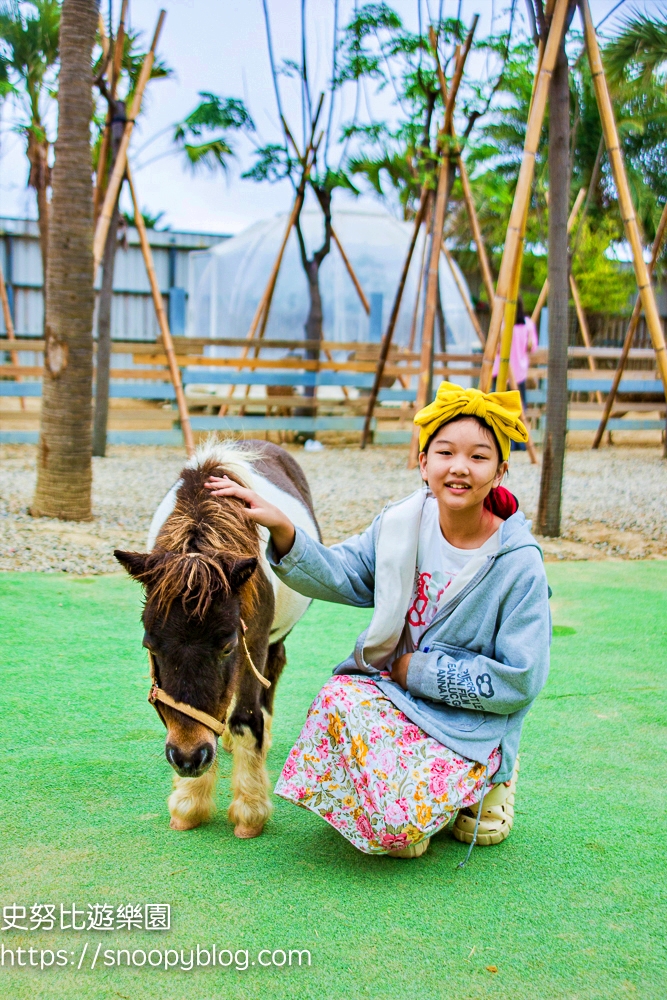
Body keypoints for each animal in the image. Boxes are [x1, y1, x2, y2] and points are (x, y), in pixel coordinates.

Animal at [115, 442, 320, 840]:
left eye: (227, 645)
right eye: (150, 646)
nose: (188, 758)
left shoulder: (253, 640)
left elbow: (246, 718)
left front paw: (249, 811)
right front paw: (190, 801)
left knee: (273, 670)